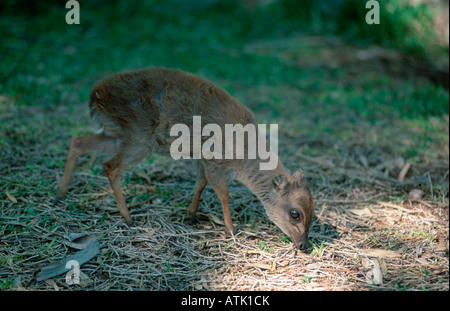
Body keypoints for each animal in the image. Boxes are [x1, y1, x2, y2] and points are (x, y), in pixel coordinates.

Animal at [55, 69, 312, 251]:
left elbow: (200, 184)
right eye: (295, 213)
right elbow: (223, 193)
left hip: (116, 134)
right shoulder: (215, 161)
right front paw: (231, 231)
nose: (303, 246)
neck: (242, 154)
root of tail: (94, 96)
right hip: (139, 138)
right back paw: (128, 218)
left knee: (78, 142)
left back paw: (60, 194)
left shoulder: (201, 158)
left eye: (313, 211)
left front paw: (191, 216)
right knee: (110, 165)